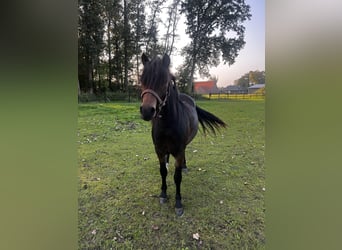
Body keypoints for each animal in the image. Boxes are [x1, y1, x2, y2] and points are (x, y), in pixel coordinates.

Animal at [140, 53, 226, 216]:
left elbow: (177, 177)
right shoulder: (159, 150)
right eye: (142, 80)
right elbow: (163, 172)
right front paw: (163, 195)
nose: (147, 111)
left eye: (165, 82)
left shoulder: (179, 150)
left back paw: (184, 166)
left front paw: (178, 203)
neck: (168, 124)